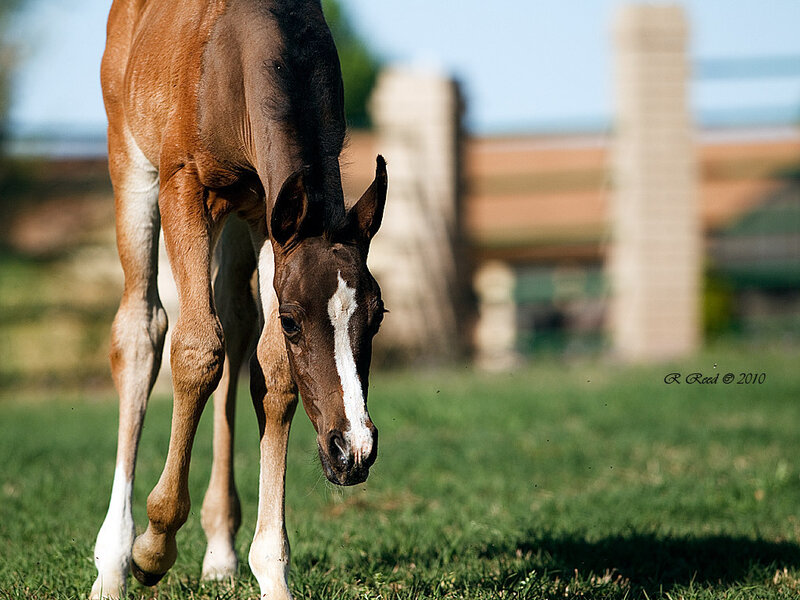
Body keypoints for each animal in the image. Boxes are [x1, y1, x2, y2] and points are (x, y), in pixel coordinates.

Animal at [89, 1, 387, 598]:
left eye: (378, 316)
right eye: (293, 321)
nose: (353, 450)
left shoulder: (271, 216)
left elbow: (272, 372)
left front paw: (271, 570)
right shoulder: (183, 183)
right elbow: (196, 350)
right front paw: (153, 548)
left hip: (238, 222)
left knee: (237, 322)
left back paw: (221, 549)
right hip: (130, 165)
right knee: (141, 331)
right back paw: (113, 561)